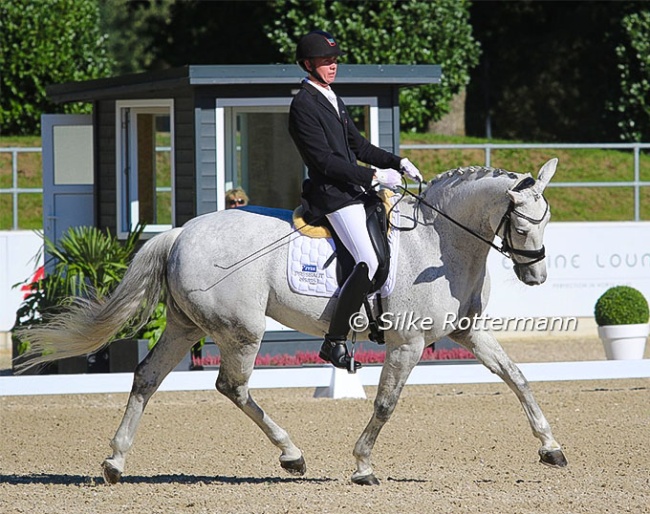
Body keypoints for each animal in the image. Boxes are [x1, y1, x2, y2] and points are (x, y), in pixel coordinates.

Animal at [17, 158, 564, 482]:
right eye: (521, 224)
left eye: (548, 218)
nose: (536, 274)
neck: (439, 243)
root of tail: (178, 233)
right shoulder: (406, 343)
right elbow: (386, 404)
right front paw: (362, 465)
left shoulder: (468, 333)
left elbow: (517, 378)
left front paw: (552, 448)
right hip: (243, 329)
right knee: (232, 386)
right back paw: (291, 454)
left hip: (185, 325)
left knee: (147, 377)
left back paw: (115, 461)